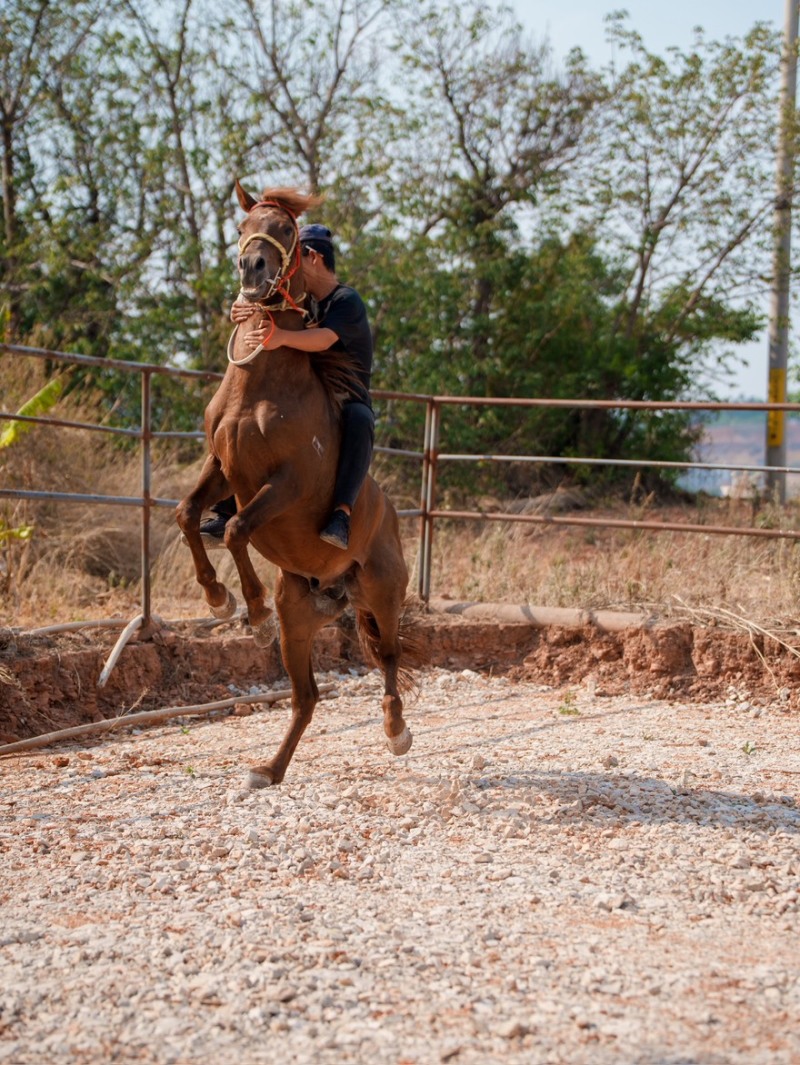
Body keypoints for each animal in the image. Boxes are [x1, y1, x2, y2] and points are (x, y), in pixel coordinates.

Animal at [176, 182, 419, 787]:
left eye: (285, 229)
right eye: (243, 227)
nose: (252, 268)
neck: (259, 387)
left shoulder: (288, 485)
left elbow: (238, 528)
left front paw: (252, 612)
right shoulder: (222, 467)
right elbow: (190, 515)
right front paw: (218, 599)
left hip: (384, 593)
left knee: (389, 657)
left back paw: (396, 732)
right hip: (301, 618)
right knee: (306, 698)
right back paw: (269, 769)